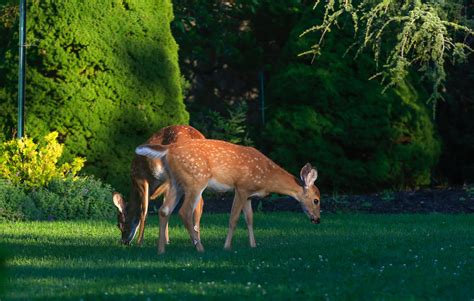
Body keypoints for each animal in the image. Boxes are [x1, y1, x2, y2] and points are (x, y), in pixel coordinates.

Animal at [137, 139, 322, 252]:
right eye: (316, 200)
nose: (318, 219)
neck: (267, 177)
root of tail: (168, 149)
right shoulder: (241, 187)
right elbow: (233, 218)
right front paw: (226, 247)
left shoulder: (249, 195)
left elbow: (249, 219)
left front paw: (253, 245)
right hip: (196, 180)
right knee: (184, 212)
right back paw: (200, 248)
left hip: (176, 182)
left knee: (164, 210)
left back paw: (161, 250)